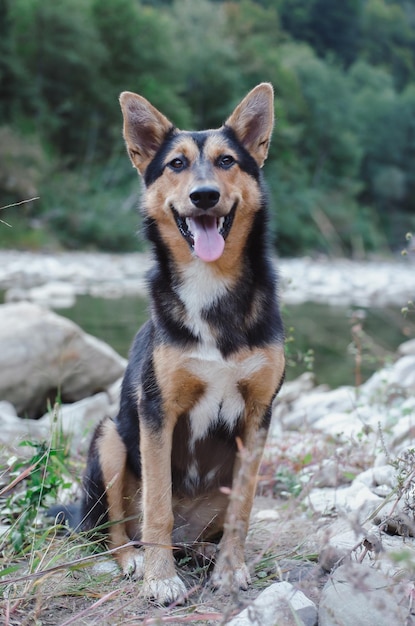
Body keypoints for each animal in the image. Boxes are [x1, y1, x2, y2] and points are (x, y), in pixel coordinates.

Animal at [81, 85, 286, 604]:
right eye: (176, 164)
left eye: (227, 160)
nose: (204, 195)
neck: (209, 286)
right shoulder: (157, 412)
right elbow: (158, 503)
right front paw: (160, 577)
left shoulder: (259, 416)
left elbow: (244, 509)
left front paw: (231, 569)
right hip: (110, 438)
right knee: (115, 529)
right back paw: (135, 560)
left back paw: (208, 554)